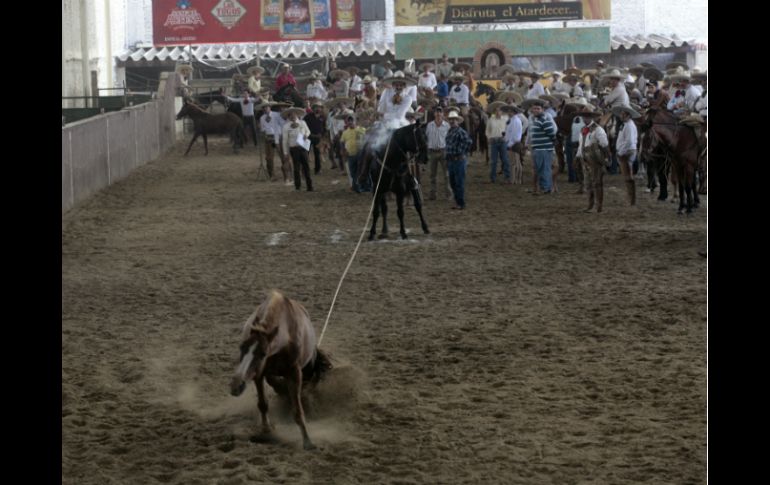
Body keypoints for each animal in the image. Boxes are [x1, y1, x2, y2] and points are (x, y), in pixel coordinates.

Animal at [228, 288, 330, 450]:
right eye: (241, 347)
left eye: (263, 353)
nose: (236, 386)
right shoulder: (259, 373)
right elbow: (263, 404)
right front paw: (266, 430)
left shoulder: (295, 373)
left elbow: (298, 411)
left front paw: (308, 442)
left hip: (308, 366)